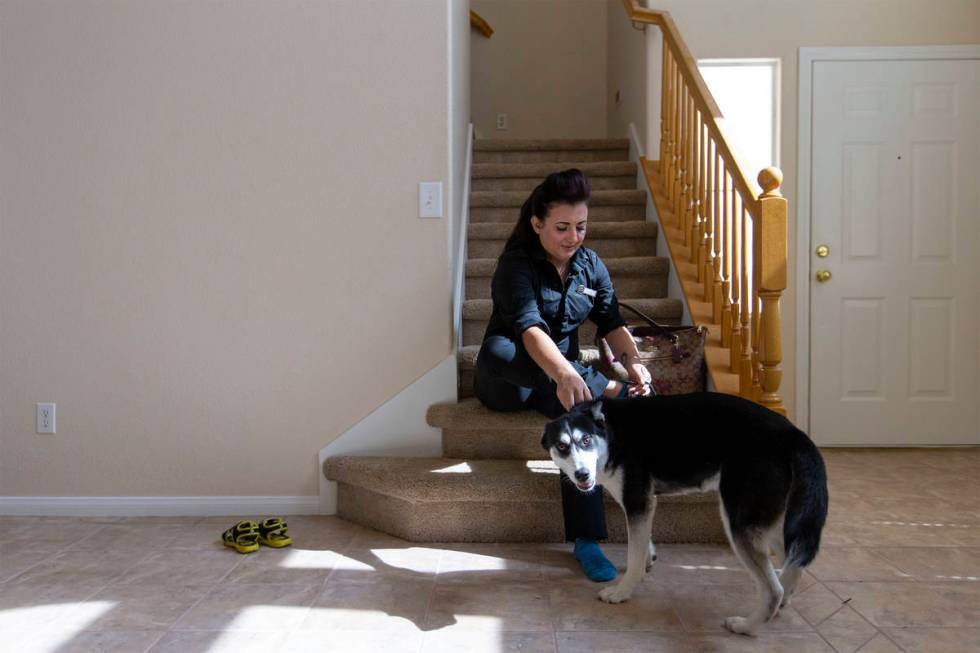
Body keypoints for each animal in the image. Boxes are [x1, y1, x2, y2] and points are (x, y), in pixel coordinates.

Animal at [544, 390, 828, 636]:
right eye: (561, 446)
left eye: (586, 440)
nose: (582, 475)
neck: (611, 434)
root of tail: (794, 435)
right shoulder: (643, 505)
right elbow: (642, 544)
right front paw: (648, 560)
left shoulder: (637, 501)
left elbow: (634, 556)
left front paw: (622, 592)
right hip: (775, 523)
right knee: (795, 564)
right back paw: (781, 604)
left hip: (739, 521)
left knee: (772, 590)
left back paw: (745, 626)